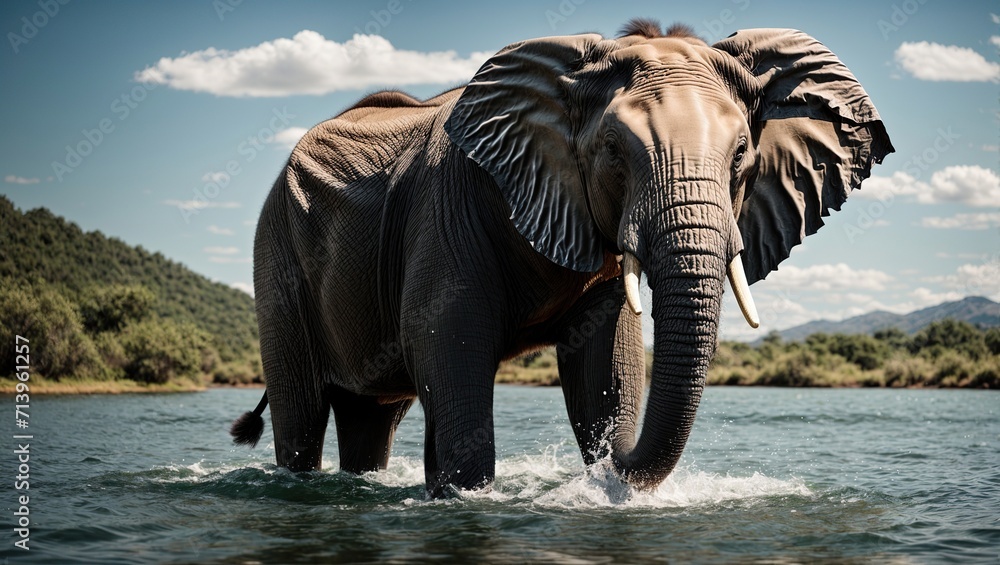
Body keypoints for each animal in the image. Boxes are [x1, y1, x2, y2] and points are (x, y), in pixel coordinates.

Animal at [230, 19, 892, 497]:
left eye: (741, 157)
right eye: (614, 152)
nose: (609, 465)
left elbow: (606, 364)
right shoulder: (446, 211)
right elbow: (449, 349)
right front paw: (461, 496)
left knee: (374, 416)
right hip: (276, 254)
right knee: (301, 410)